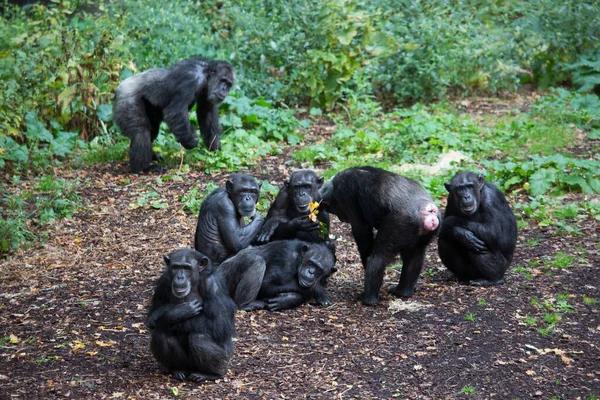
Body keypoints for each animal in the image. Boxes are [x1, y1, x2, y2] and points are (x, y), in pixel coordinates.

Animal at [146, 248, 236, 382]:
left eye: (187, 268)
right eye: (176, 267)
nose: (180, 277)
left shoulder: (213, 285)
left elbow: (220, 324)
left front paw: (166, 314)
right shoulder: (163, 281)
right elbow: (152, 313)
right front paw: (175, 313)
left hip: (224, 360)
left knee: (198, 338)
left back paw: (211, 374)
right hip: (186, 364)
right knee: (161, 335)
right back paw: (178, 370)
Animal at [318, 166, 440, 306]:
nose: (341, 218)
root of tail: (428, 211)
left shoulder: (345, 194)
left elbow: (362, 231)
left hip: (399, 224)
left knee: (378, 259)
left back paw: (368, 299)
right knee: (415, 258)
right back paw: (403, 291)